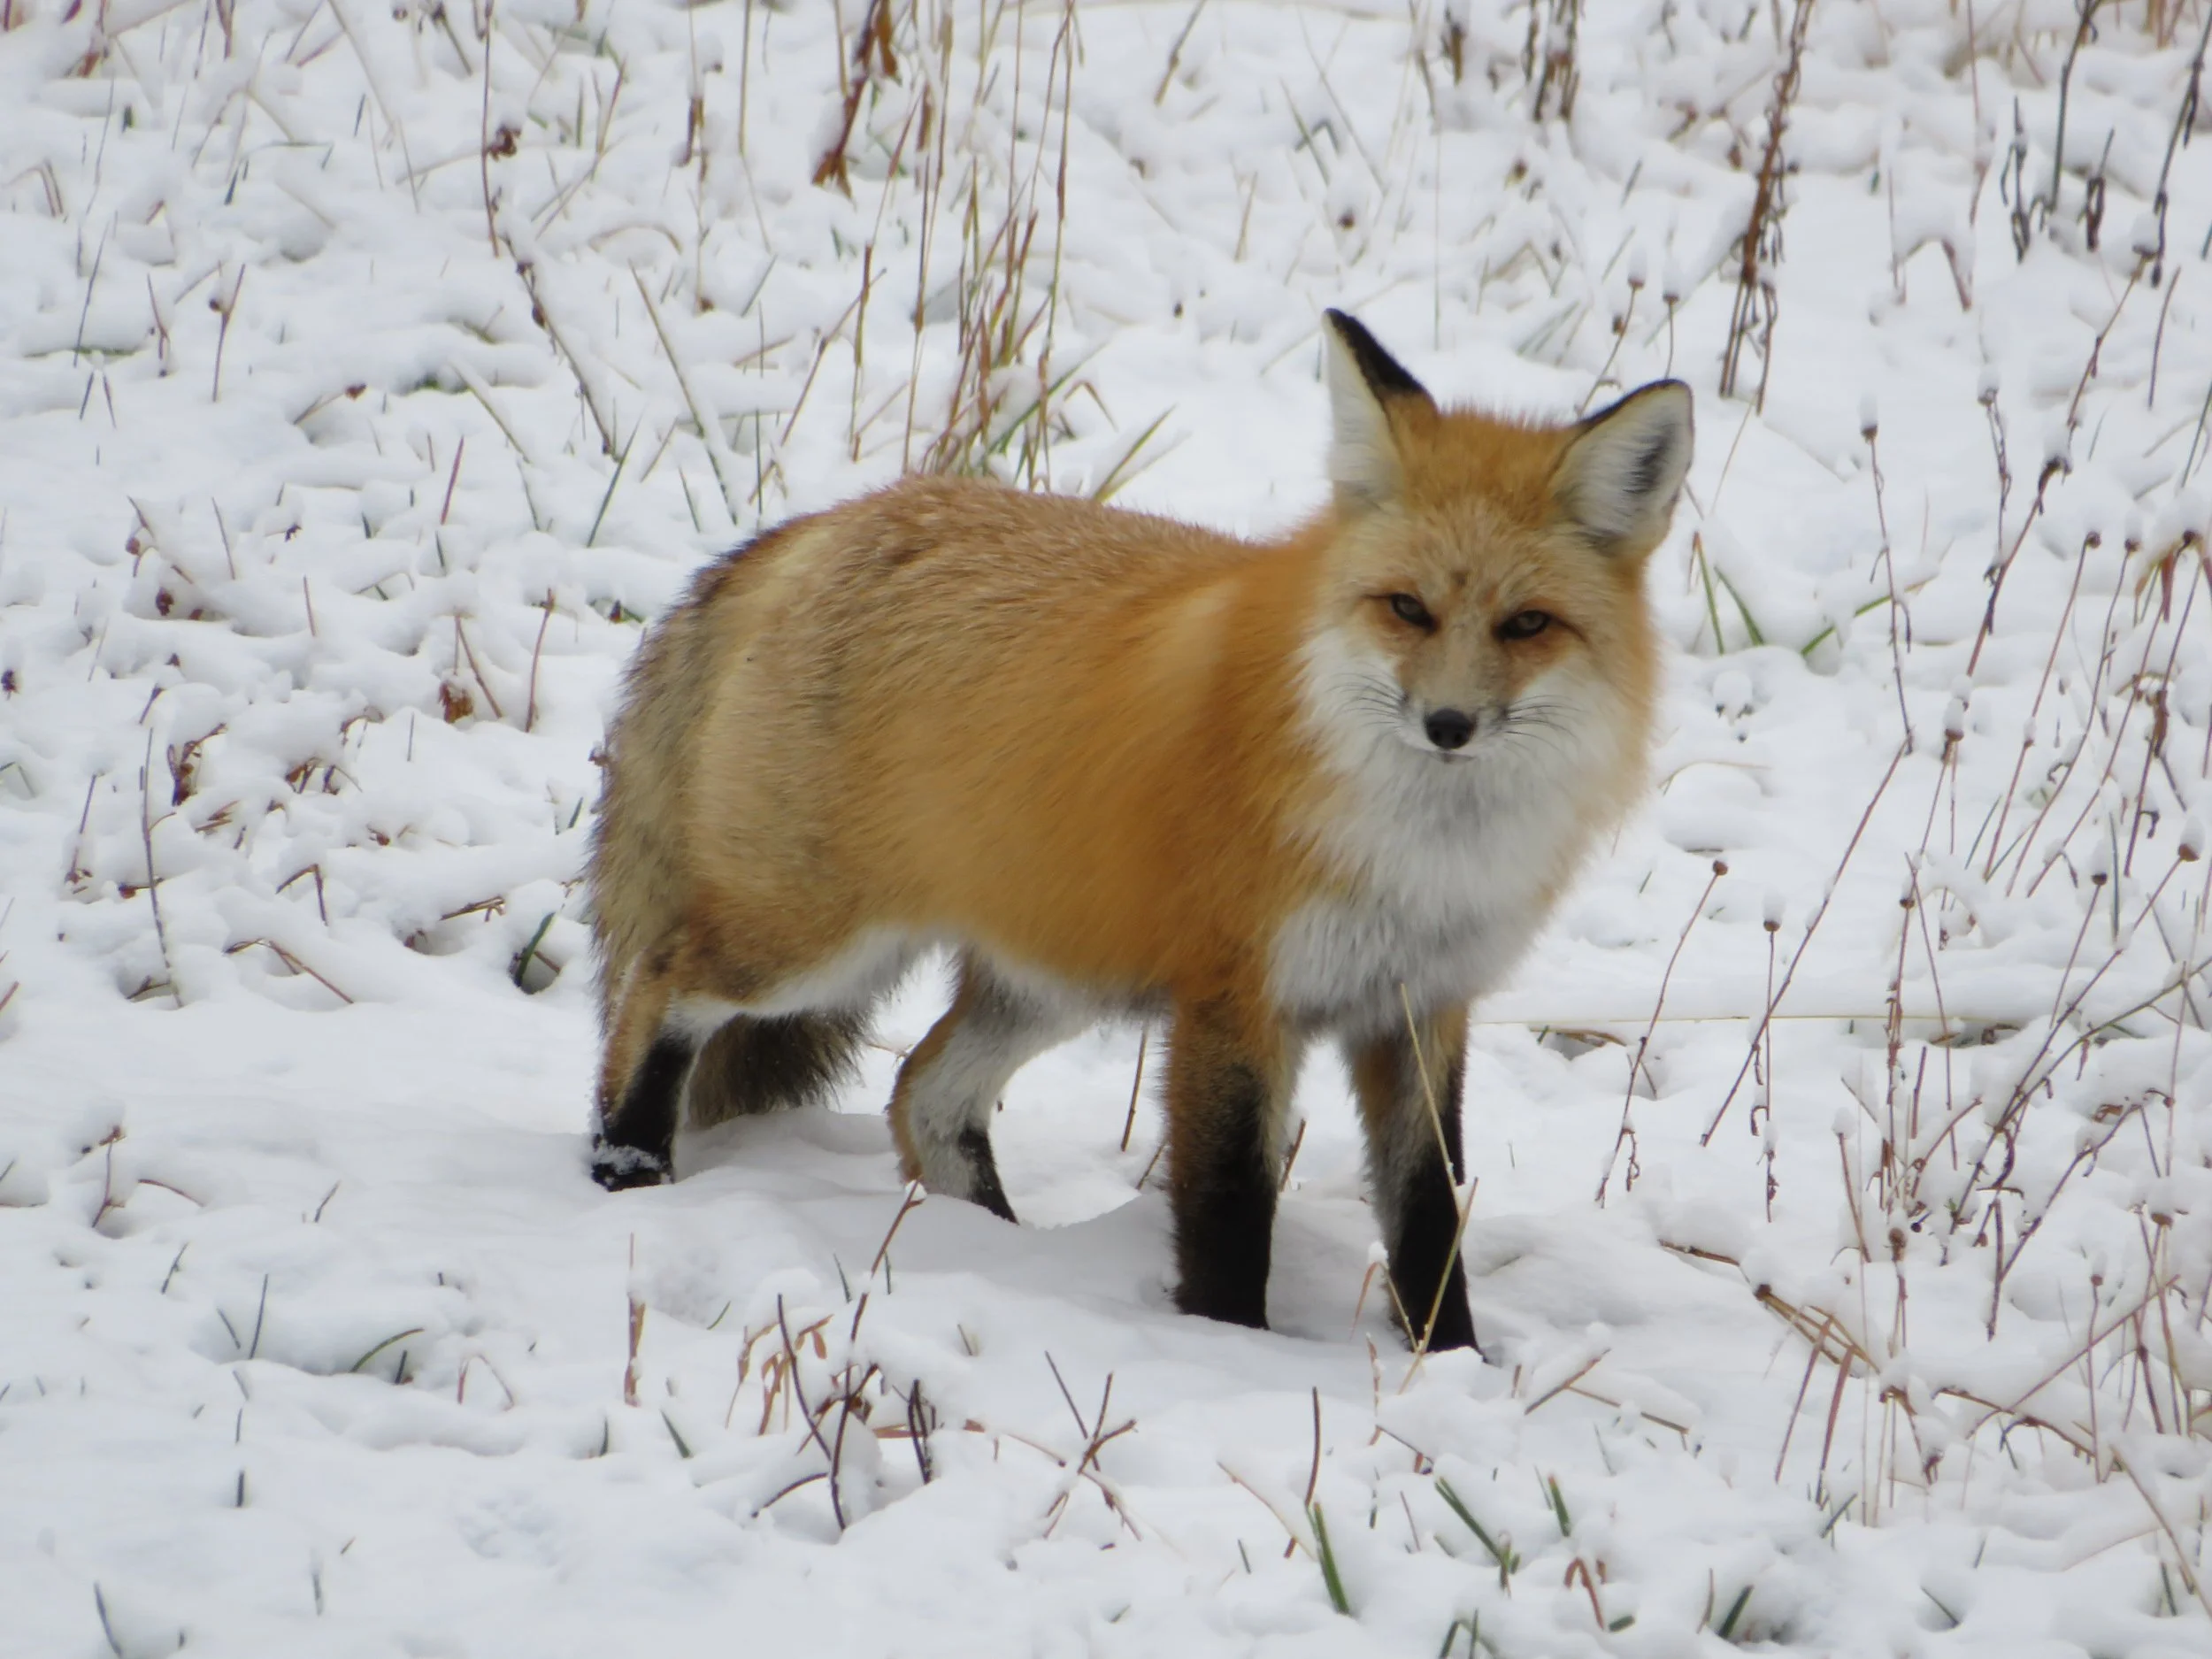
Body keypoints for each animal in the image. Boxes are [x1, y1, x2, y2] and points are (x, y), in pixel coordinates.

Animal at [585, 310, 1691, 1350]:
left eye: (1527, 625)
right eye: (1406, 609)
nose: (1448, 725)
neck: (1419, 855)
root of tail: (824, 523)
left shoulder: (1418, 1011)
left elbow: (1429, 1218)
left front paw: (1452, 1362)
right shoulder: (1234, 1001)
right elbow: (1229, 1209)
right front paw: (1230, 1353)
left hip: (1054, 976)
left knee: (921, 1092)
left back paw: (999, 1250)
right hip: (815, 948)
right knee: (662, 981)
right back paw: (627, 1166)